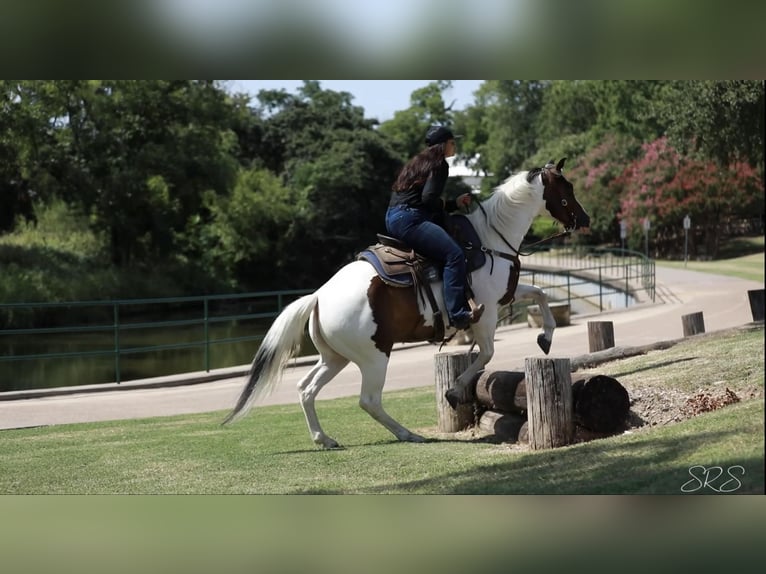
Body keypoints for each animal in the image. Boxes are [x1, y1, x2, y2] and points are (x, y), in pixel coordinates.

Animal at [223, 158, 590, 448]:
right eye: (566, 187)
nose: (584, 219)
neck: (490, 241)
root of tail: (318, 297)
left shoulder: (505, 297)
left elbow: (540, 295)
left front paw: (545, 337)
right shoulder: (484, 314)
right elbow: (486, 353)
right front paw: (454, 391)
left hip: (335, 358)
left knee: (306, 389)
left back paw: (324, 439)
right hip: (374, 357)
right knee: (368, 400)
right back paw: (407, 434)